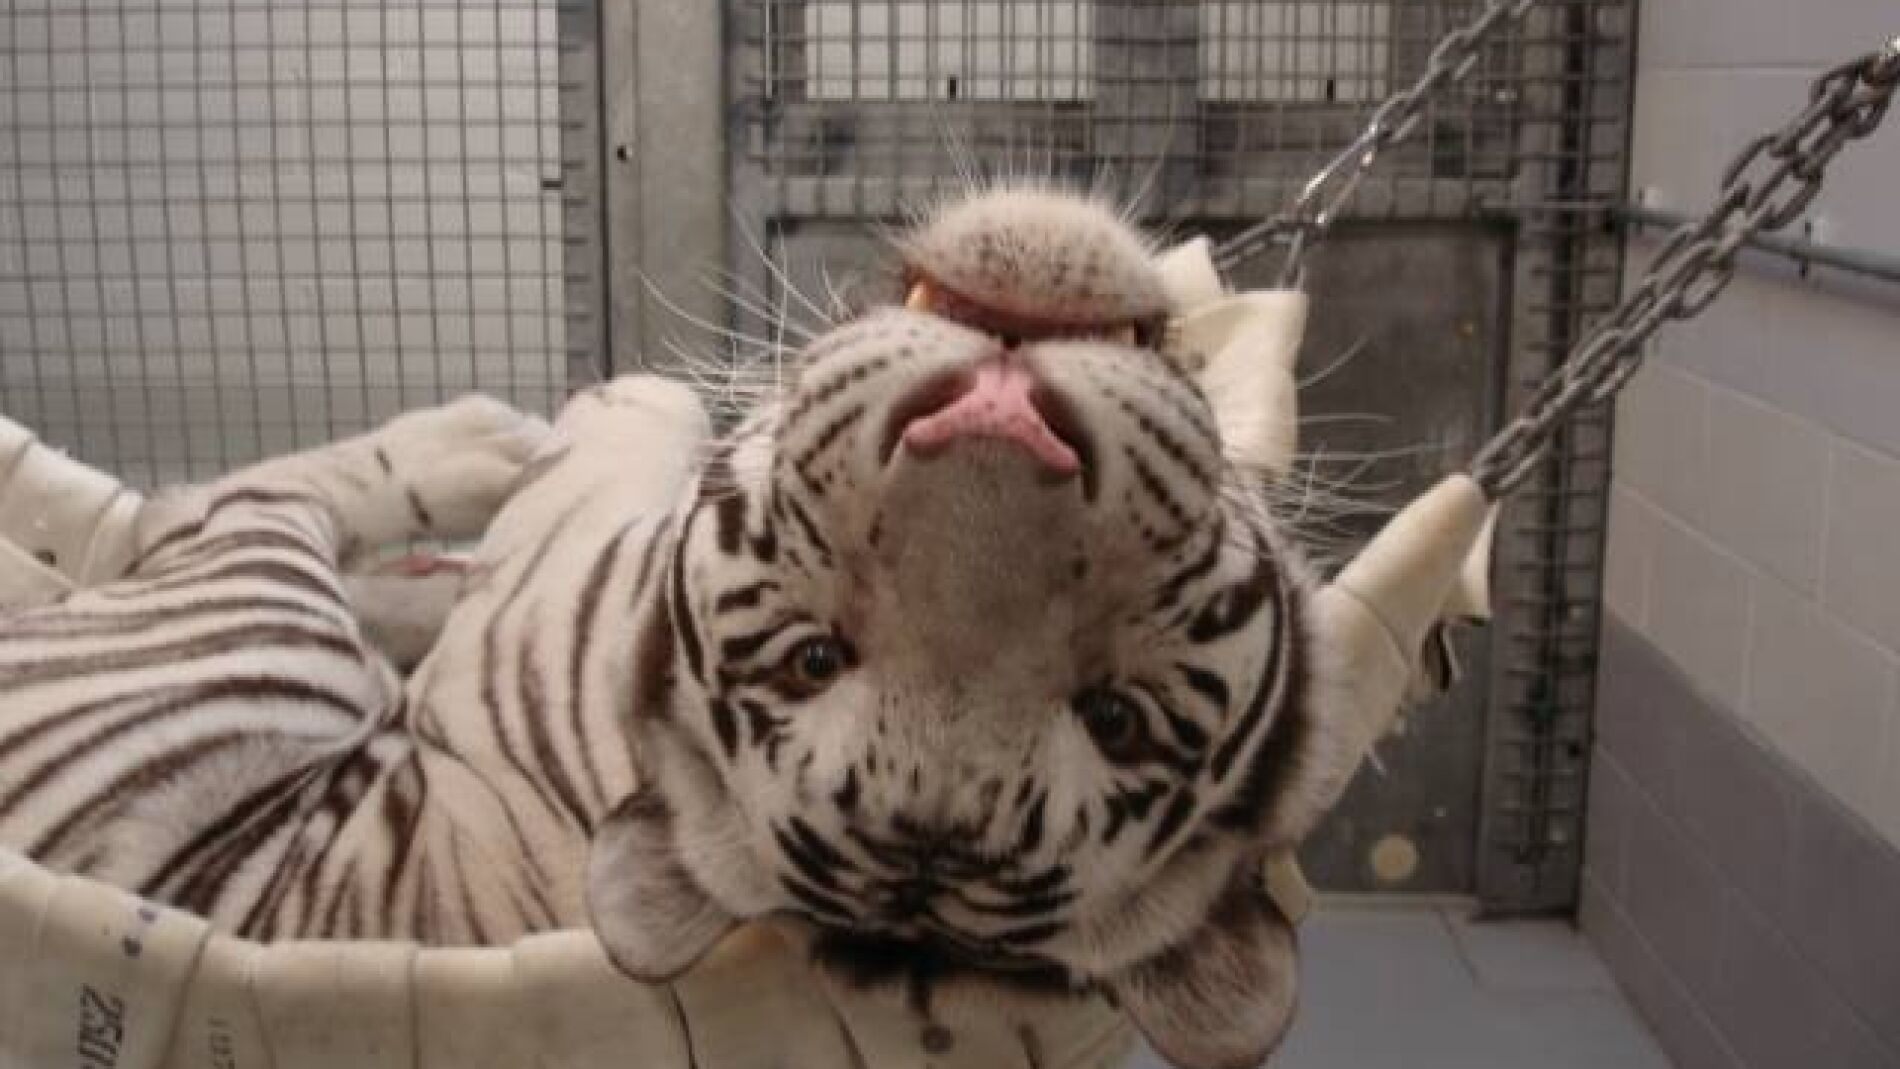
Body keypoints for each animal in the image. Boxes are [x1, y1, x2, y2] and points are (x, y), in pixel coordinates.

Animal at [0, 185, 1371, 1069]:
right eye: (816, 657)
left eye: (1111, 714)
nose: (1003, 409)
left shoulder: (552, 556)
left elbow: (638, 409)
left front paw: (579, 416)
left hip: (249, 622)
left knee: (219, 505)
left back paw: (466, 451)